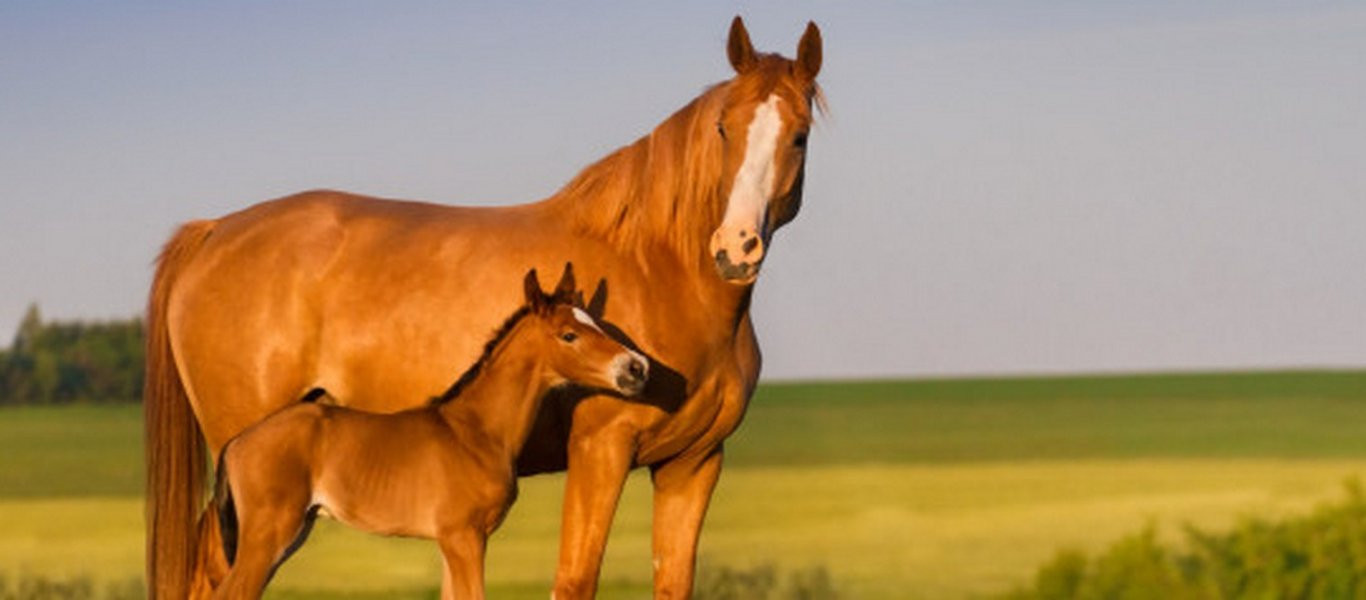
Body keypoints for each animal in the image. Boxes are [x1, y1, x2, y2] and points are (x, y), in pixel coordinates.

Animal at [208, 269, 644, 600]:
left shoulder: (452, 543)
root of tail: (237, 442)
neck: (476, 431)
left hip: (291, 532)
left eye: (597, 324)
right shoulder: (465, 538)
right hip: (268, 535)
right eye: (569, 334)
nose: (636, 368)